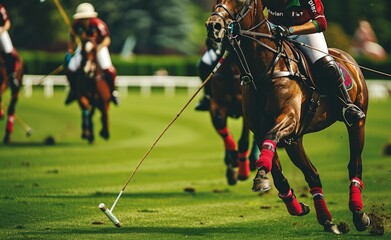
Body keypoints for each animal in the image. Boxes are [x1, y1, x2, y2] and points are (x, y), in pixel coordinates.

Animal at [208, 54, 260, 186]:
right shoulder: (216, 104)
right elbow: (220, 122)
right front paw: (233, 158)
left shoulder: (246, 110)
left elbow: (243, 141)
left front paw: (243, 172)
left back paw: (252, 160)